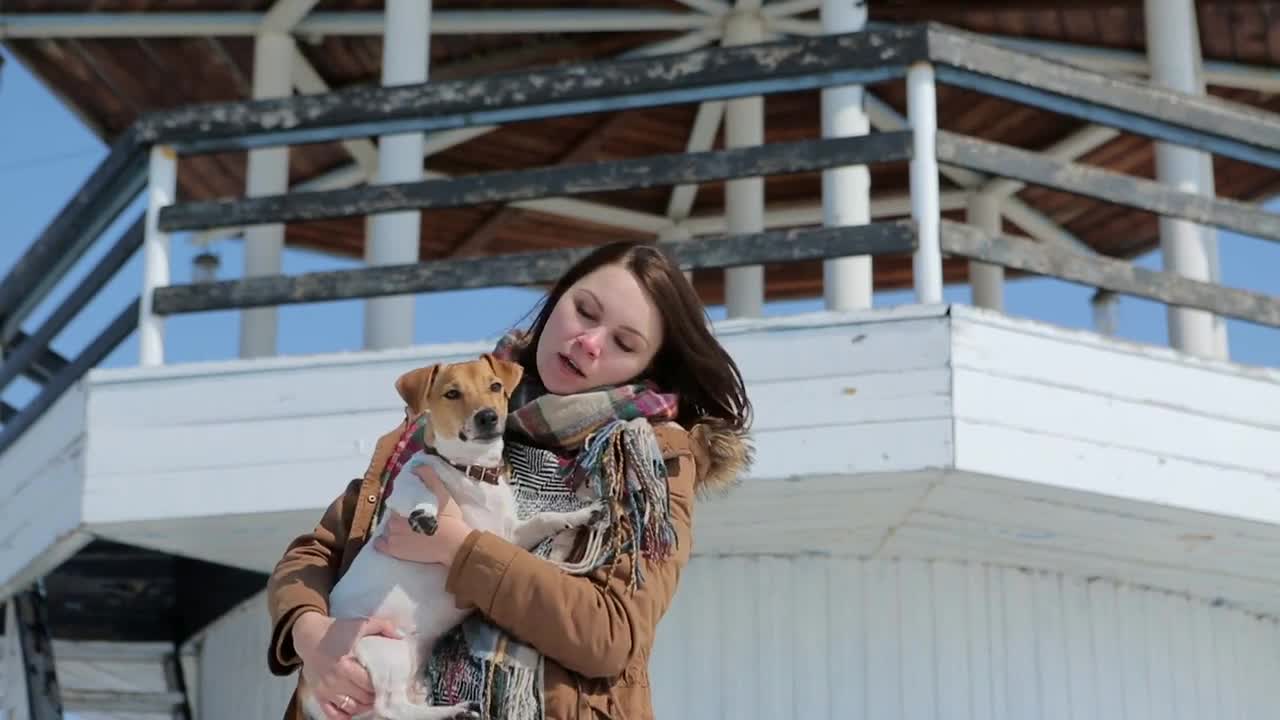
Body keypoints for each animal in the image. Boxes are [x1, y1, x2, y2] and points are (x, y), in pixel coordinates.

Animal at [299, 353, 599, 717]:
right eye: (452, 393)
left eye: (495, 386)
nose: (488, 416)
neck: (471, 473)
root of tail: (308, 690)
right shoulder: (407, 486)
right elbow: (417, 489)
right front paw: (425, 514)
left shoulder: (507, 535)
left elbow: (545, 518)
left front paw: (581, 514)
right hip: (383, 646)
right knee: (390, 707)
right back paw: (454, 710)